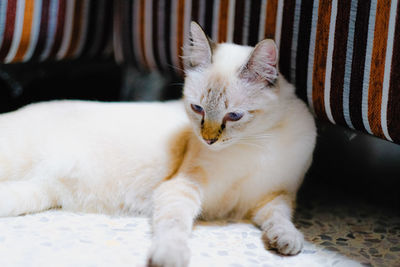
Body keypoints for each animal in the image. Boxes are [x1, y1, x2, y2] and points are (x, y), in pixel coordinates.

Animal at [0, 23, 316, 267]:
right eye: (197, 109)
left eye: (234, 116)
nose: (209, 139)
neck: (259, 142)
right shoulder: (182, 187)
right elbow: (175, 227)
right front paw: (169, 257)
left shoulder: (273, 198)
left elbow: (281, 220)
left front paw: (287, 242)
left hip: (31, 193)